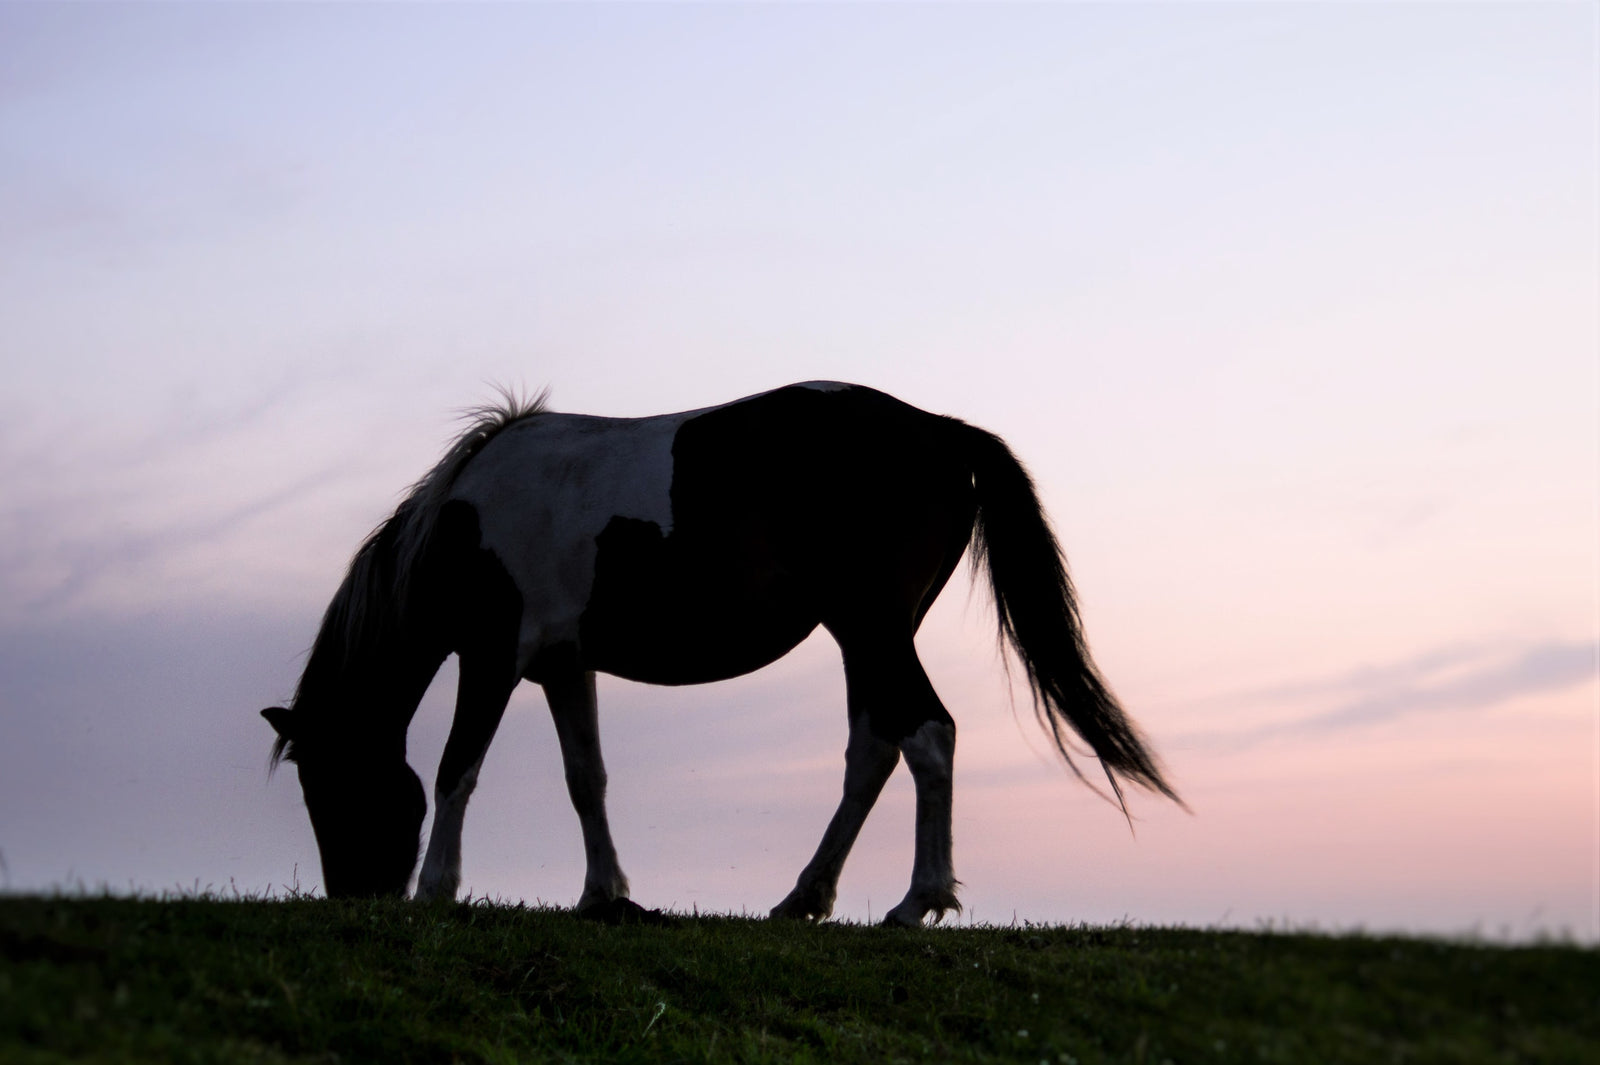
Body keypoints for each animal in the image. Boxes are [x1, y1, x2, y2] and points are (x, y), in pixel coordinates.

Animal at [262, 381, 1178, 926]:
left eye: (328, 786)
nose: (355, 896)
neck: (465, 521)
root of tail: (941, 433)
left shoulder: (492, 655)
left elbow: (459, 767)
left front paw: (435, 890)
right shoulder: (563, 664)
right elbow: (585, 777)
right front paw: (605, 895)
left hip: (874, 627)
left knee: (927, 735)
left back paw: (917, 901)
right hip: (864, 636)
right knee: (875, 748)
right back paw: (805, 897)